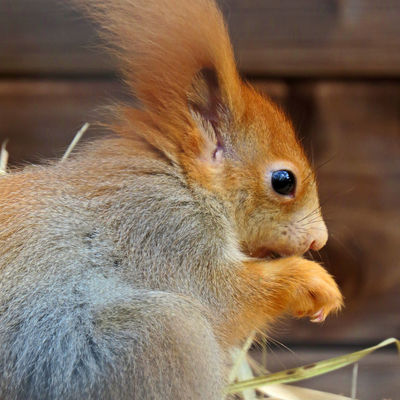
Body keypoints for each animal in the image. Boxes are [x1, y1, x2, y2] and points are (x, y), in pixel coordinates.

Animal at [0, 0, 344, 400]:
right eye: (283, 181)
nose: (319, 239)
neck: (185, 183)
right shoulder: (166, 234)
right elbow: (227, 300)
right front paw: (312, 283)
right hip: (160, 334)